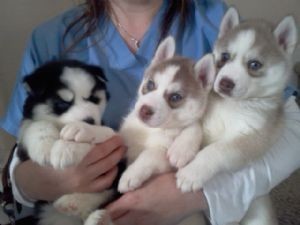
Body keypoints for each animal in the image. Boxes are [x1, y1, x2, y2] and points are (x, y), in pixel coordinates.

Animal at [17, 59, 116, 225]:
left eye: (94, 99)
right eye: (63, 103)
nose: (89, 121)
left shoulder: (112, 136)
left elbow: (102, 132)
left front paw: (69, 144)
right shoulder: (23, 138)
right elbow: (36, 125)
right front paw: (45, 147)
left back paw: (94, 215)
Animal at [118, 36, 216, 194]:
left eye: (175, 97)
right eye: (150, 84)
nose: (144, 110)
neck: (152, 131)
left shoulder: (167, 163)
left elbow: (150, 154)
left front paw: (131, 174)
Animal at [176, 7, 298, 225]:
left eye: (254, 64)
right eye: (225, 56)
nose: (225, 82)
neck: (231, 106)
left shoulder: (251, 138)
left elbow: (216, 150)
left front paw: (192, 172)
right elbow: (194, 126)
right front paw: (182, 147)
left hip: (260, 214)